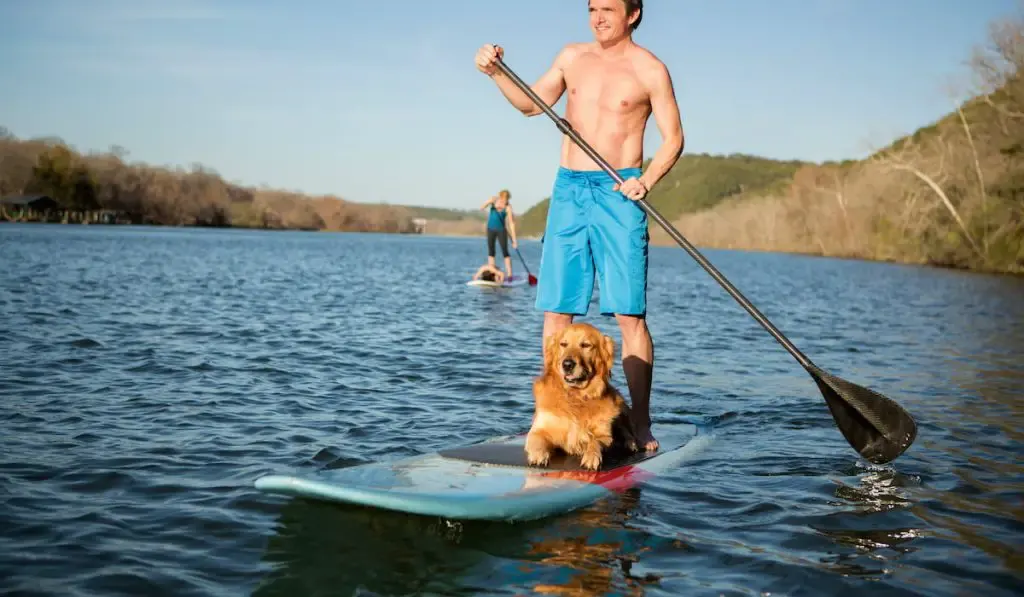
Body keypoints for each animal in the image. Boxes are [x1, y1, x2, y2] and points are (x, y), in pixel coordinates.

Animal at [528, 321, 638, 471]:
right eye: (563, 344)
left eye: (586, 345)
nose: (567, 364)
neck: (576, 396)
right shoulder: (540, 429)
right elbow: (537, 439)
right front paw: (538, 456)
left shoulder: (604, 435)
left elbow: (595, 441)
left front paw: (591, 457)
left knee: (625, 429)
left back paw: (631, 443)